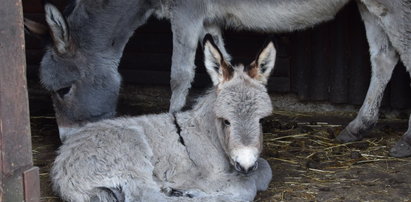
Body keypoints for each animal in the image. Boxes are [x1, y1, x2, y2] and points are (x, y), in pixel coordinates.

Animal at [51, 36, 276, 202]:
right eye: (226, 121)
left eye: (261, 121)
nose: (245, 164)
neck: (208, 135)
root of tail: (62, 167)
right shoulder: (206, 175)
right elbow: (247, 186)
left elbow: (265, 168)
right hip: (130, 154)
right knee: (145, 196)